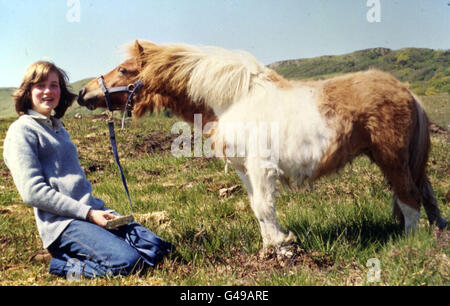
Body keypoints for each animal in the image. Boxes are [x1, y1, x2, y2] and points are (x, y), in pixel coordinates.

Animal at [77, 40, 446, 255]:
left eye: (125, 70)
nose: (83, 93)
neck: (234, 100)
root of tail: (406, 90)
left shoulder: (261, 166)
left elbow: (266, 207)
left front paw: (283, 248)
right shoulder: (245, 171)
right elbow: (257, 207)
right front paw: (271, 246)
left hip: (392, 160)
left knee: (410, 199)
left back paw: (408, 243)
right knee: (426, 195)